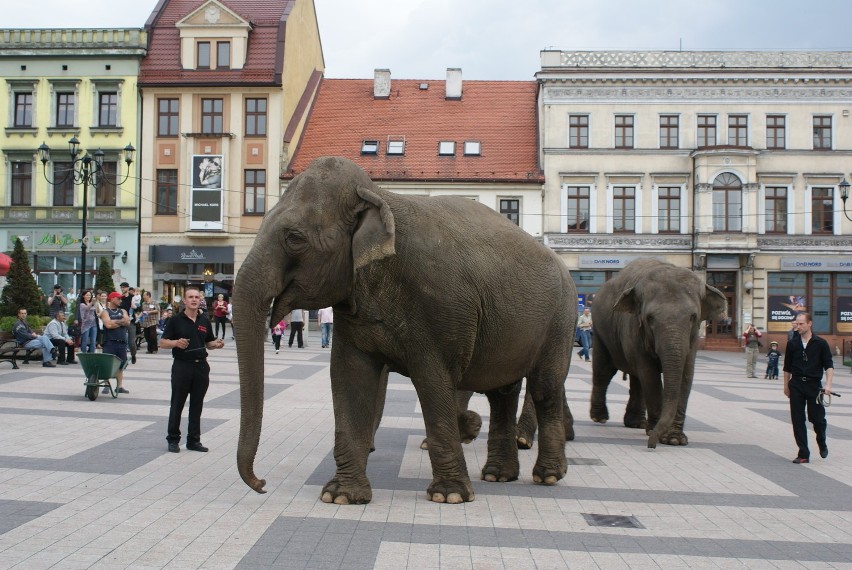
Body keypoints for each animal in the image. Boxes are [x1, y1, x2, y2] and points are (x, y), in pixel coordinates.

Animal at [235, 155, 580, 502]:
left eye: (294, 238)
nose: (261, 484)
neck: (380, 195)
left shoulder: (441, 308)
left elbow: (435, 382)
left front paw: (449, 494)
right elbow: (349, 377)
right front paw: (342, 495)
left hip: (561, 318)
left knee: (544, 387)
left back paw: (548, 475)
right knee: (502, 393)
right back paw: (498, 474)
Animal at [592, 258, 724, 448]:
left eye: (693, 317)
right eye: (650, 318)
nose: (651, 445)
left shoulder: (692, 340)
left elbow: (686, 375)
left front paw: (674, 439)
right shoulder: (633, 328)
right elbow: (650, 375)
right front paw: (657, 433)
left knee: (636, 379)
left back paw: (636, 424)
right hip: (600, 331)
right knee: (604, 370)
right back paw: (600, 418)